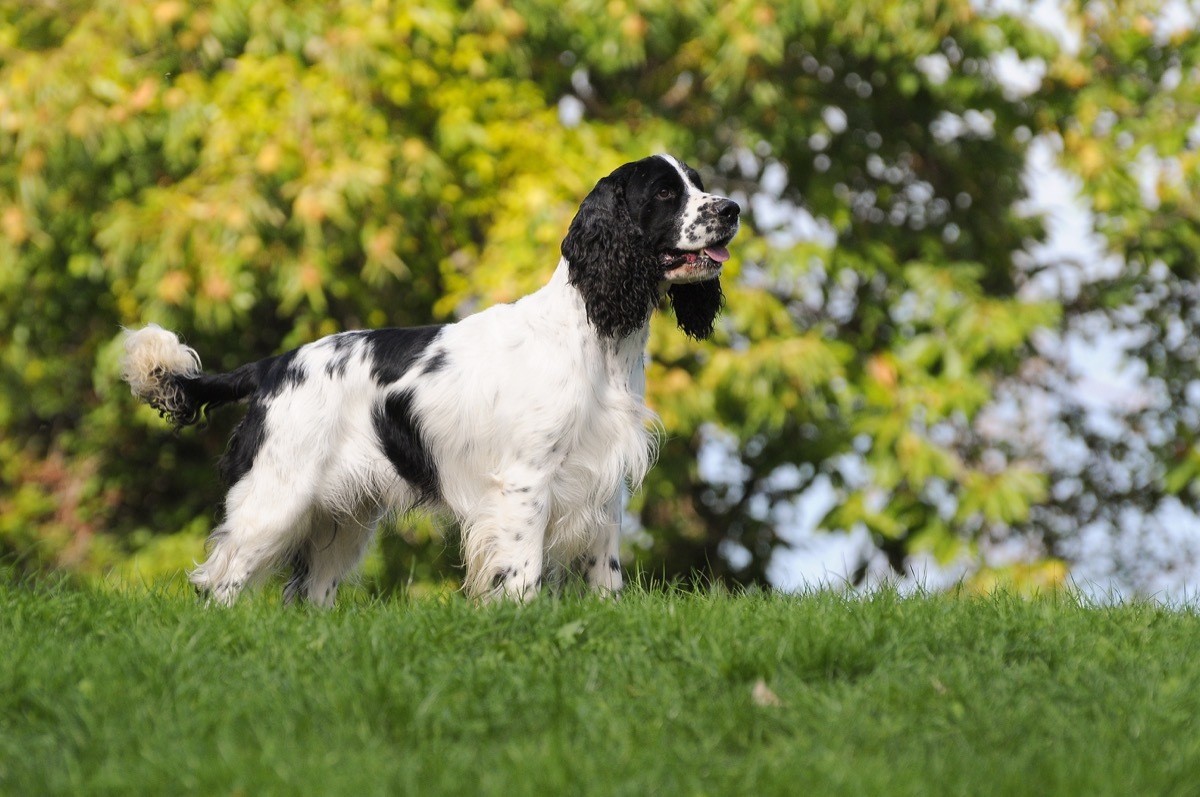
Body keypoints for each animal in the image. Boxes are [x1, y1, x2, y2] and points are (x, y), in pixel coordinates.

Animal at [121, 153, 739, 604]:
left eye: (697, 183)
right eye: (664, 193)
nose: (733, 208)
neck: (595, 339)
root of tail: (271, 367)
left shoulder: (604, 483)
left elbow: (605, 574)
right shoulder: (525, 482)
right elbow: (522, 573)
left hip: (341, 519)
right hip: (275, 498)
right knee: (219, 584)